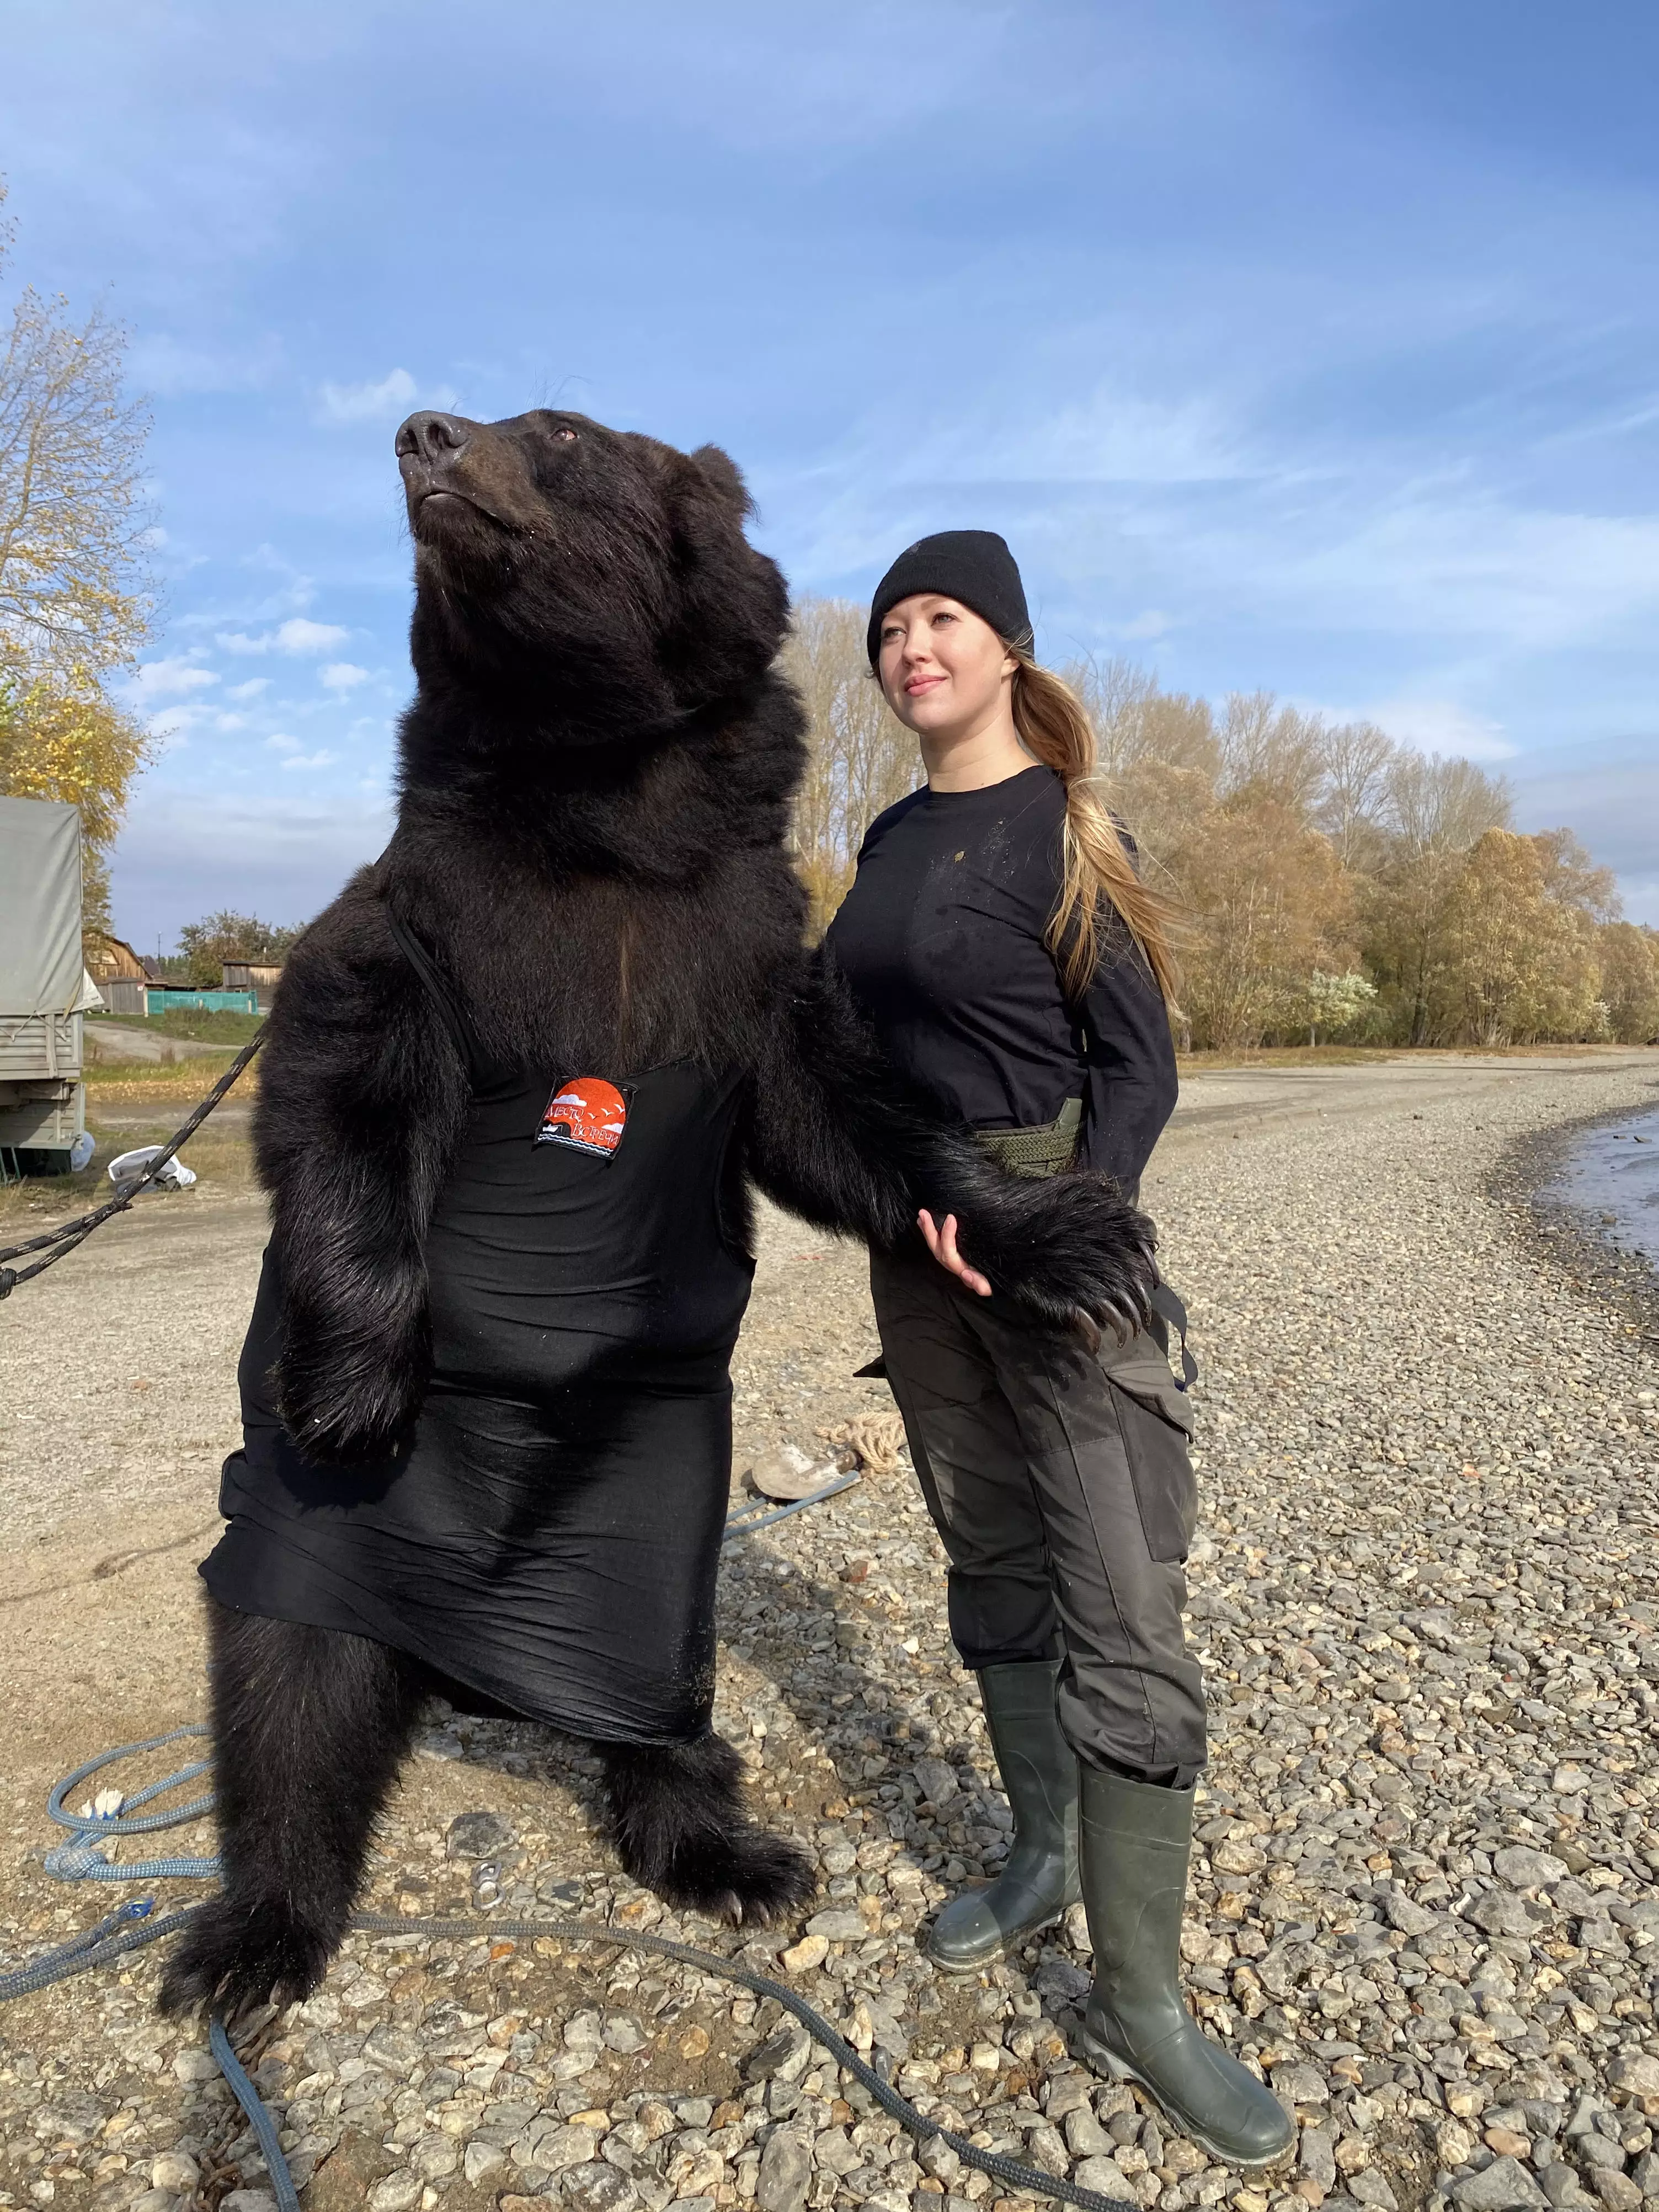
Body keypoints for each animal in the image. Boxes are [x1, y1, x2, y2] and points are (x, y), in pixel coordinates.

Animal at [157, 406, 1159, 2023]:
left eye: (560, 433)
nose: (423, 431)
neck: (605, 813)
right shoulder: (424, 923)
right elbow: (341, 1086)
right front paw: (360, 1387)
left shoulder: (743, 953)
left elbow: (847, 1120)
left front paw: (1072, 1240)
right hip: (301, 1547)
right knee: (282, 1678)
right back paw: (252, 1934)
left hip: (652, 1495)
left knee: (645, 1661)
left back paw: (725, 1848)